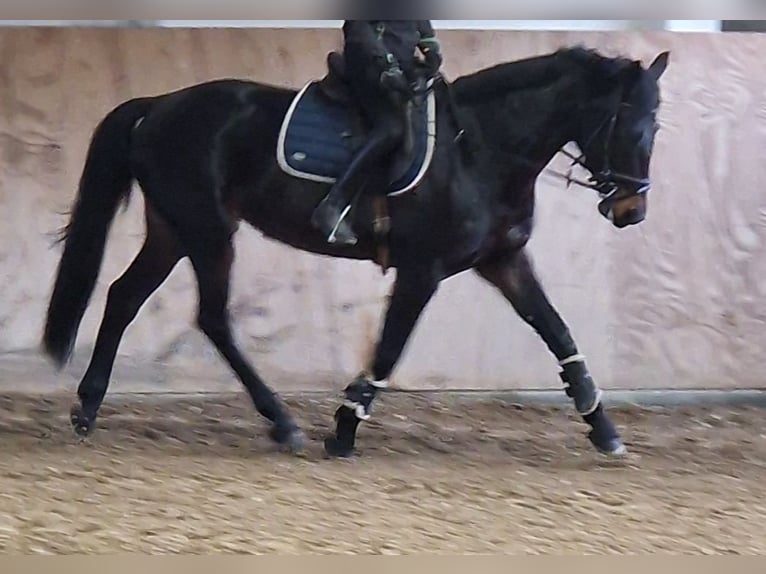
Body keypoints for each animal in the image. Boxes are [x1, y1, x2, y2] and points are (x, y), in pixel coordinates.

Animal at [42, 44, 668, 460]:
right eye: (629, 126)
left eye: (655, 127)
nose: (632, 212)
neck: (480, 149)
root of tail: (159, 105)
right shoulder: (423, 270)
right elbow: (389, 348)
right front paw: (344, 428)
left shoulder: (504, 260)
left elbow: (557, 331)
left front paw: (603, 428)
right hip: (207, 231)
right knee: (212, 317)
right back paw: (282, 424)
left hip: (173, 230)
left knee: (124, 297)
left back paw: (87, 409)